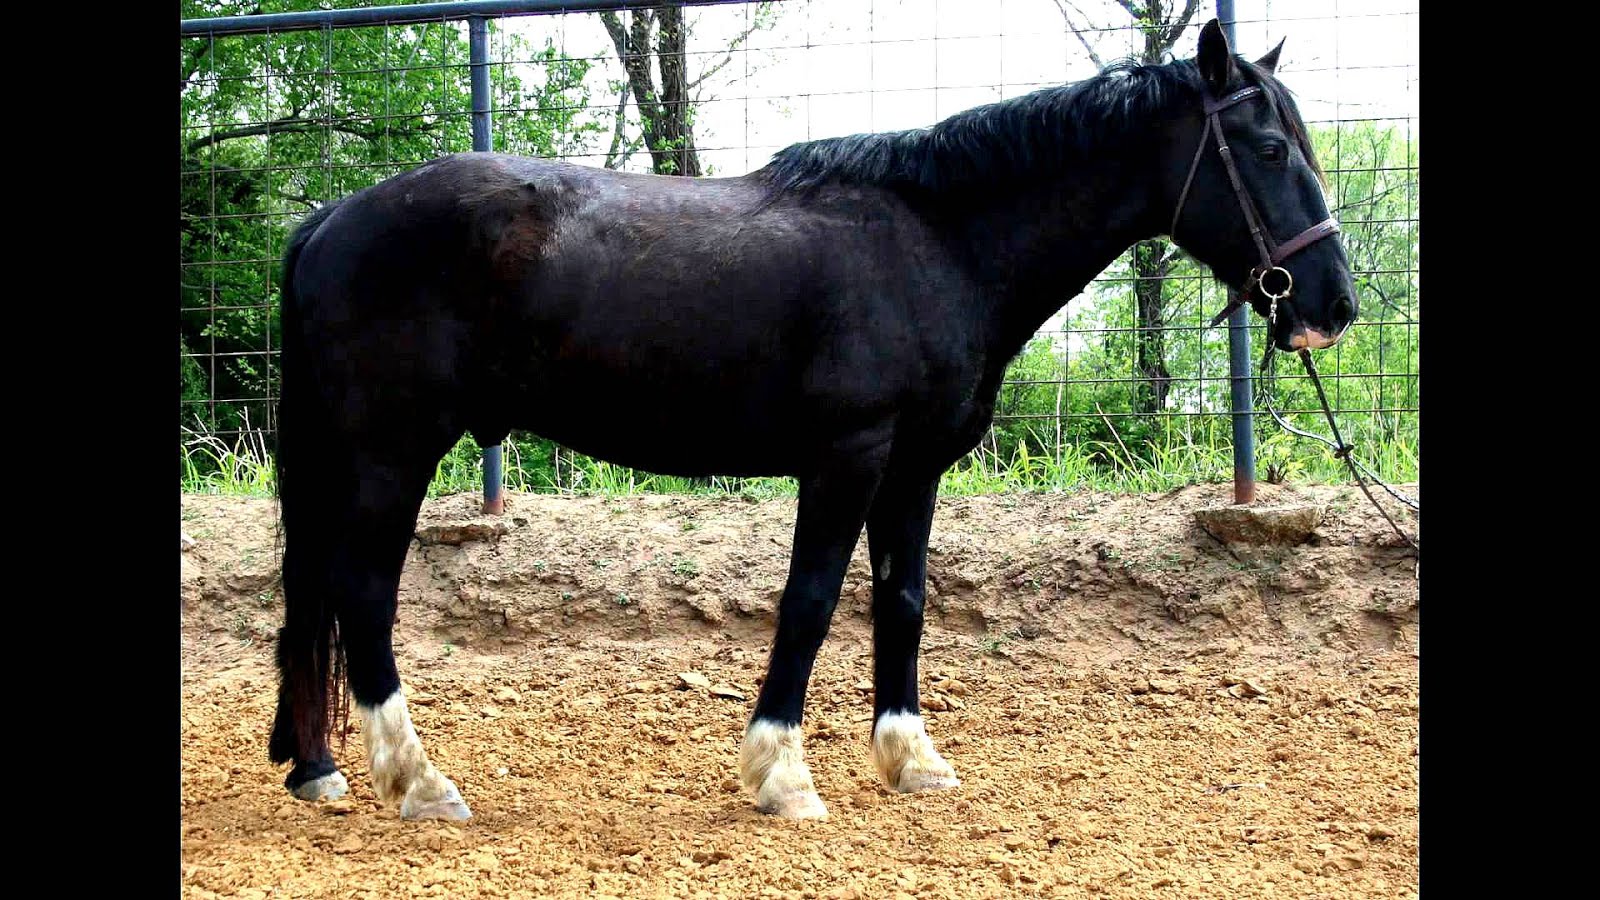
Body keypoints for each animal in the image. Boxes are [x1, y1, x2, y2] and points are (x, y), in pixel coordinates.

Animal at [265, 19, 1355, 821]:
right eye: (1265, 148)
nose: (1331, 305)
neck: (935, 244)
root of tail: (329, 219)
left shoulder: (914, 468)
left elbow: (901, 601)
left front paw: (910, 758)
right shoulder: (846, 458)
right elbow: (811, 602)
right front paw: (782, 773)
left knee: (318, 589)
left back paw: (317, 768)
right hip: (393, 450)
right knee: (363, 592)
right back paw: (417, 779)